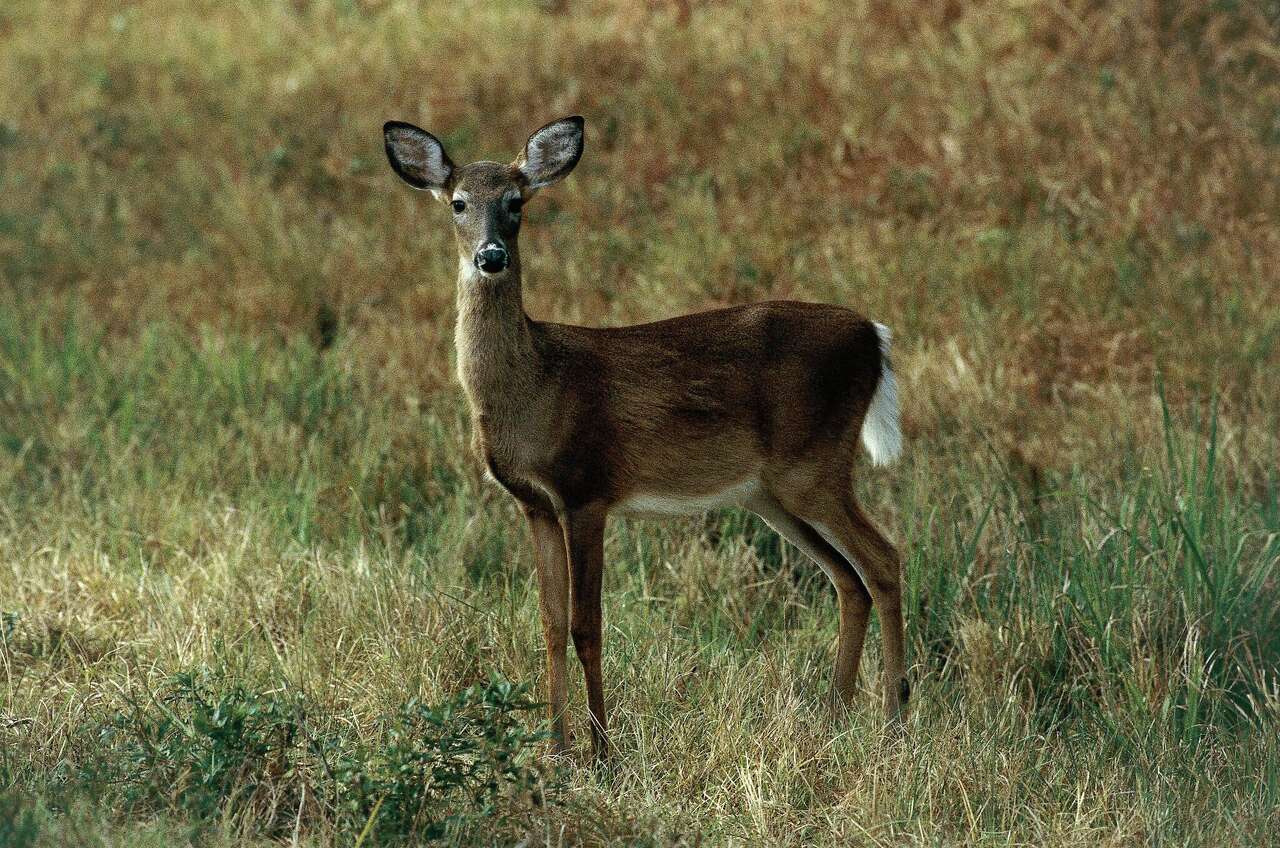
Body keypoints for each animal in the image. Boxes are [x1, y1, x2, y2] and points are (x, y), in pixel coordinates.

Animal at [382, 115, 907, 761]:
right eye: (458, 203)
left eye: (516, 202)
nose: (491, 256)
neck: (535, 386)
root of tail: (875, 336)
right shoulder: (534, 504)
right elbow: (549, 624)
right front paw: (556, 751)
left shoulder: (586, 488)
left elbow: (586, 625)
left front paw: (602, 751)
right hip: (773, 493)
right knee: (848, 580)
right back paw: (835, 717)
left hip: (814, 466)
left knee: (884, 560)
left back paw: (894, 720)